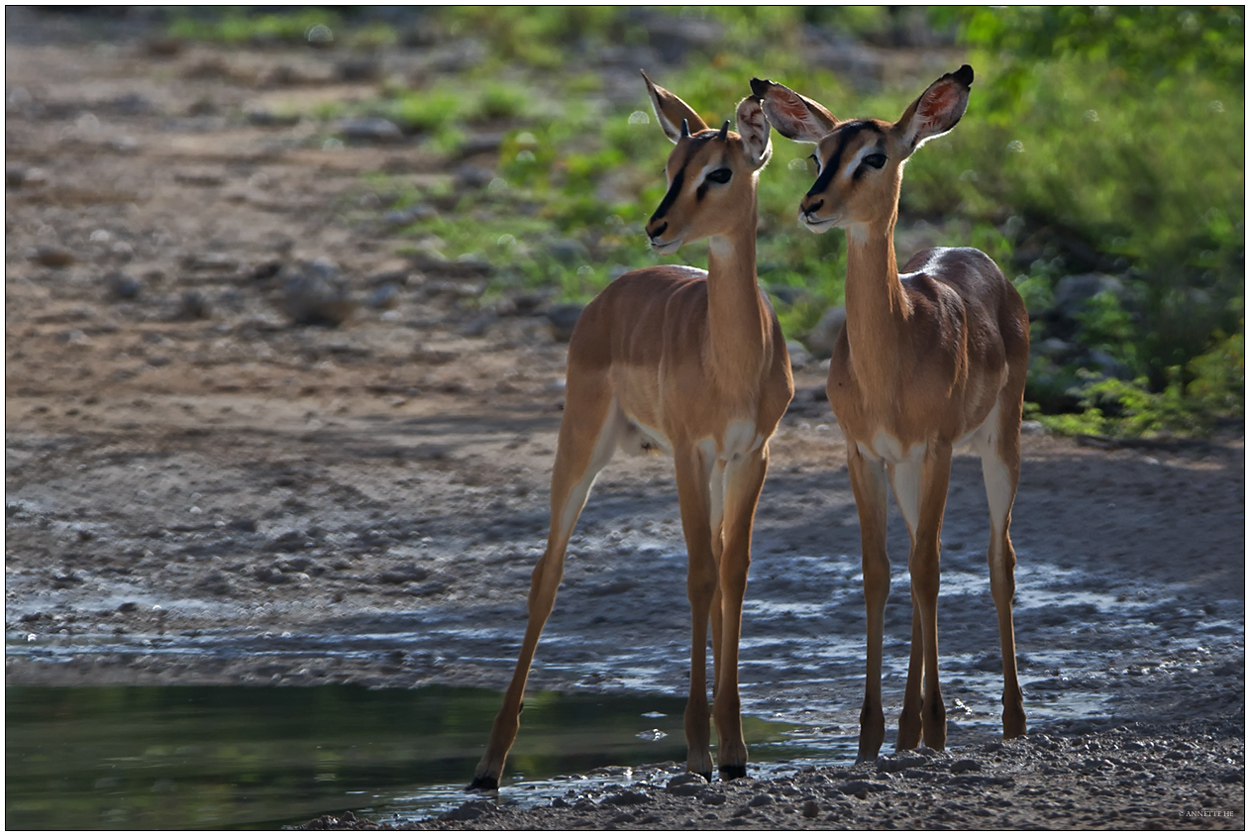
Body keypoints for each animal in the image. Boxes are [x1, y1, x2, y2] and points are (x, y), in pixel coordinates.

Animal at [470, 73, 790, 789]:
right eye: (672, 166)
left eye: (720, 171)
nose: (656, 226)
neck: (731, 357)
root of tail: (609, 295)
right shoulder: (689, 455)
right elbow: (699, 574)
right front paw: (697, 751)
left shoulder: (750, 455)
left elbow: (733, 574)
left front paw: (735, 751)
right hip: (582, 445)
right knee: (547, 574)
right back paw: (488, 767)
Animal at [750, 66, 1025, 754]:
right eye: (818, 155)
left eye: (875, 156)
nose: (811, 206)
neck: (894, 351)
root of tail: (983, 263)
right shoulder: (864, 454)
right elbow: (880, 572)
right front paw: (874, 732)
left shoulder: (938, 447)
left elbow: (928, 570)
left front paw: (933, 723)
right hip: (906, 472)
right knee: (921, 553)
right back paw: (911, 729)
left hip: (998, 445)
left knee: (997, 559)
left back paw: (1010, 721)